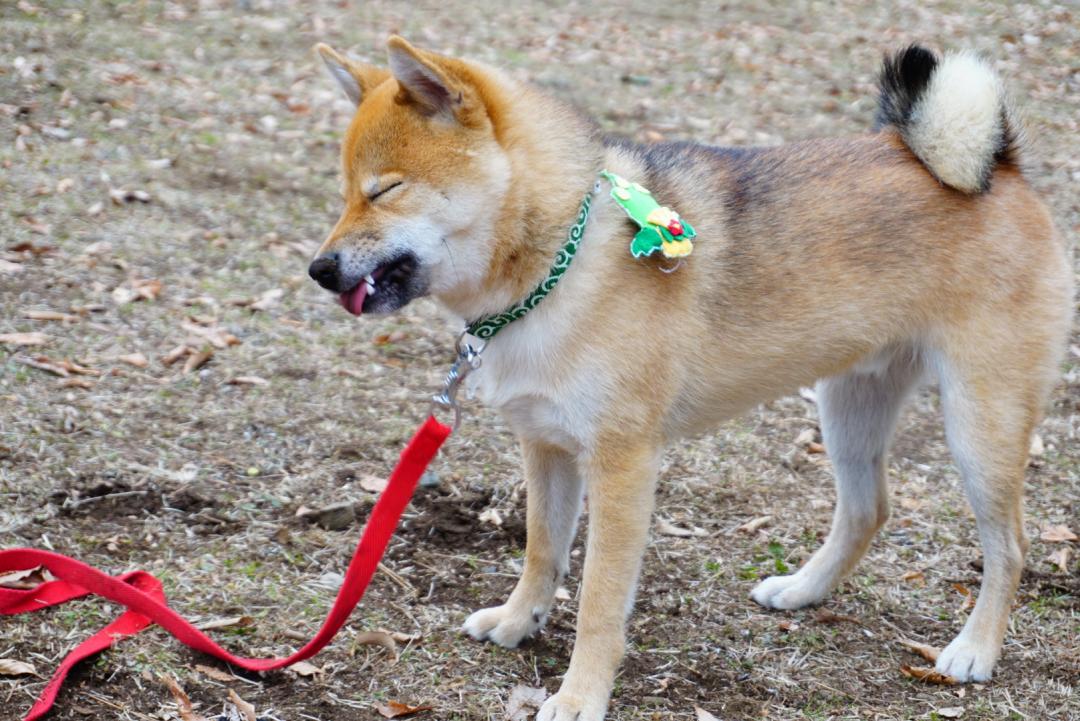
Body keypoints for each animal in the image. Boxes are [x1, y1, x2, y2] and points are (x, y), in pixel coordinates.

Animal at [304, 40, 1071, 721]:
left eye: (385, 189)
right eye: (344, 193)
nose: (319, 269)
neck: (559, 261)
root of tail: (999, 168)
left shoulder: (622, 466)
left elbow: (598, 601)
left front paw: (580, 697)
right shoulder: (546, 447)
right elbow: (543, 551)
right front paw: (520, 621)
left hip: (978, 427)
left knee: (1010, 548)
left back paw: (974, 649)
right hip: (848, 407)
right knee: (867, 509)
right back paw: (803, 590)